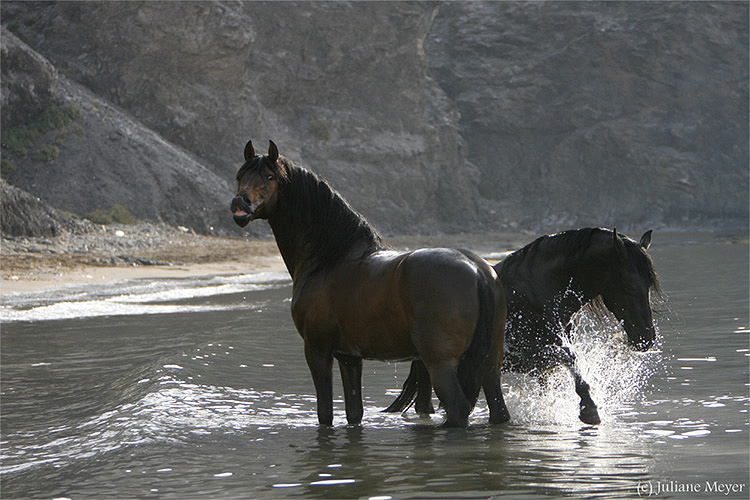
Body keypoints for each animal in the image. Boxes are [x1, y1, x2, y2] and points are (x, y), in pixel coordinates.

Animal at [229, 140, 512, 426]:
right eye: (240, 175)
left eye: (269, 176)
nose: (240, 203)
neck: (330, 258)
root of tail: (477, 271)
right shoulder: (349, 358)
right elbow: (354, 412)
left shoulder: (318, 351)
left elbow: (325, 414)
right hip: (490, 367)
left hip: (440, 364)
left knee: (457, 409)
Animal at [384, 228, 660, 426]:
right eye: (628, 284)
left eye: (649, 284)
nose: (645, 338)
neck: (539, 292)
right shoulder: (531, 354)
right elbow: (572, 360)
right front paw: (589, 409)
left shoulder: (540, 367)